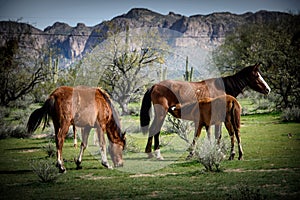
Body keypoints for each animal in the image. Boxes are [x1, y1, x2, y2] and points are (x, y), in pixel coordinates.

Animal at [139, 63, 270, 160]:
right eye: (257, 75)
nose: (268, 89)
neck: (221, 87)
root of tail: (155, 86)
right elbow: (218, 135)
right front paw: (219, 153)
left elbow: (217, 136)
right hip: (161, 114)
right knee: (155, 130)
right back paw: (157, 154)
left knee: (153, 129)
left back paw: (150, 153)